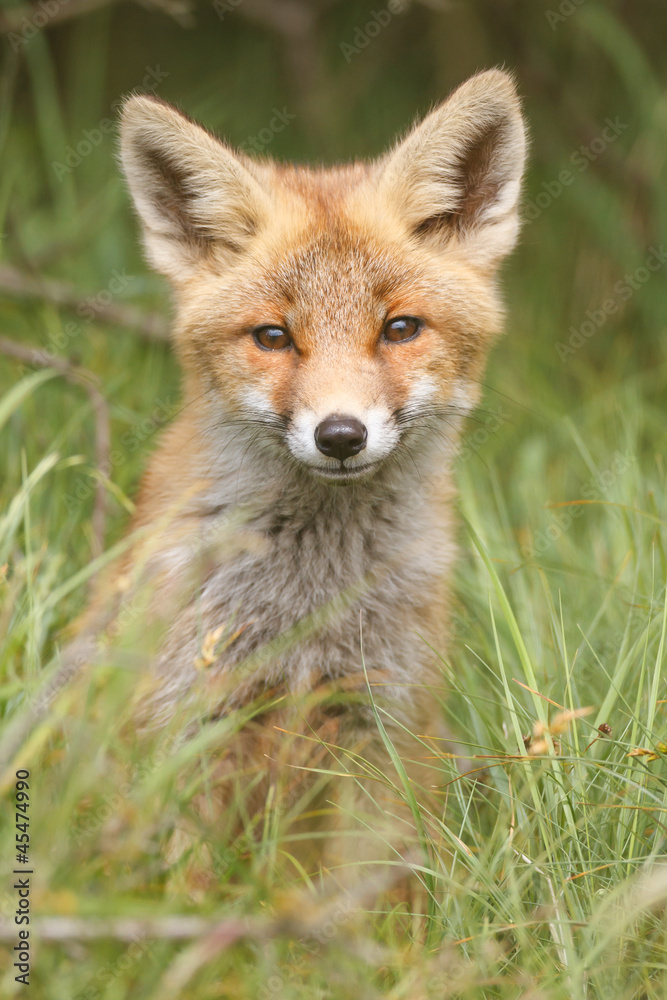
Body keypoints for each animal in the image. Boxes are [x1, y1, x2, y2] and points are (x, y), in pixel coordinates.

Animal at [68, 68, 526, 878]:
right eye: (273, 337)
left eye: (399, 328)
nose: (339, 435)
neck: (310, 602)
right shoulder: (193, 712)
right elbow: (189, 879)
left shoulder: (380, 718)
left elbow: (356, 889)